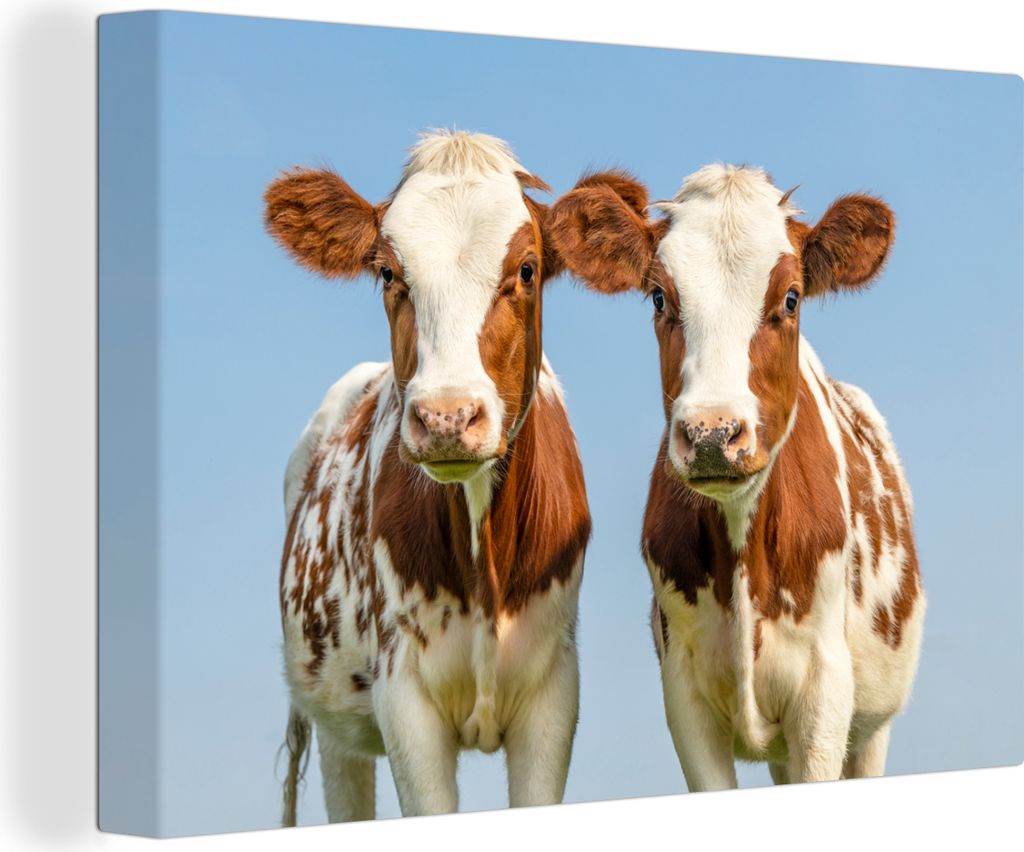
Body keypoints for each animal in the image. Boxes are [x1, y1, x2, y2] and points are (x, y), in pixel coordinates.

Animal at [264, 131, 591, 823]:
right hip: (336, 726)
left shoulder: (554, 693)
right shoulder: (403, 698)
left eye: (526, 269)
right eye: (389, 272)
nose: (446, 416)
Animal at [549, 165, 924, 788]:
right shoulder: (685, 694)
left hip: (874, 725)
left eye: (791, 297)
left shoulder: (825, 693)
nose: (711, 433)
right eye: (659, 296)